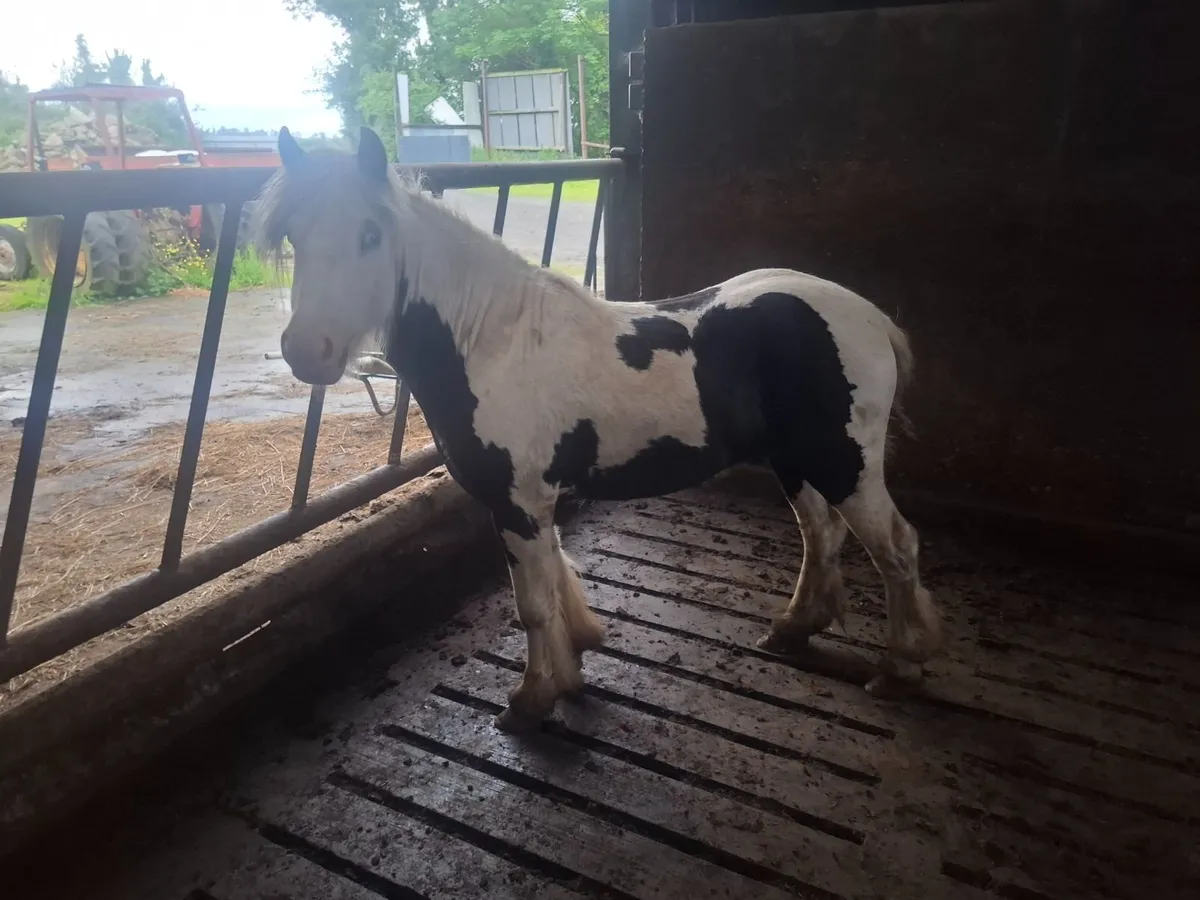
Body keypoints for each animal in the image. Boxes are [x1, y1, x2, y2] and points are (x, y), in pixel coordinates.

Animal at [257, 125, 944, 732]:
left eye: (371, 234)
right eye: (292, 235)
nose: (307, 351)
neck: (491, 343)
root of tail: (869, 316)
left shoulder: (516, 502)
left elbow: (533, 605)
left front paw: (531, 702)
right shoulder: (536, 502)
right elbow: (558, 579)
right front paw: (576, 659)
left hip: (843, 462)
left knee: (896, 546)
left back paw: (901, 669)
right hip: (797, 459)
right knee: (820, 533)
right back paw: (792, 630)